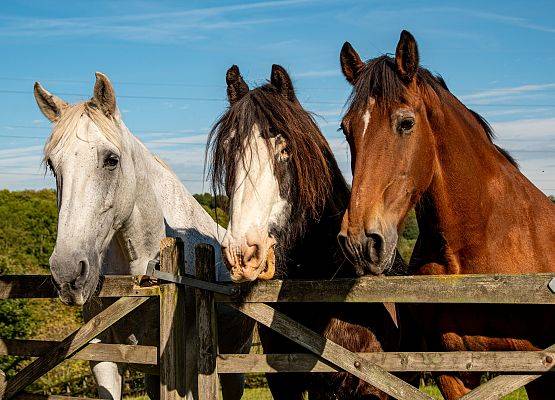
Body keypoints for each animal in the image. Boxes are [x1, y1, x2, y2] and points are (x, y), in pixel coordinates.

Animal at [32, 72, 254, 400]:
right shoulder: (104, 358)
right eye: (52, 164)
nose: (68, 274)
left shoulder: (186, 371)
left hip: (233, 368)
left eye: (111, 159)